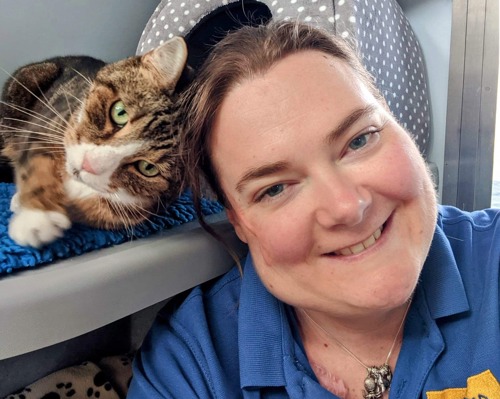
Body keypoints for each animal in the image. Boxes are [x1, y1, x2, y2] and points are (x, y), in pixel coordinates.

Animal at [0, 36, 188, 247]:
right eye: (120, 112)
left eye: (148, 168)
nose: (88, 164)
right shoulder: (44, 127)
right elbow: (36, 162)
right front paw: (37, 216)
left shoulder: (131, 211)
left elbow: (104, 211)